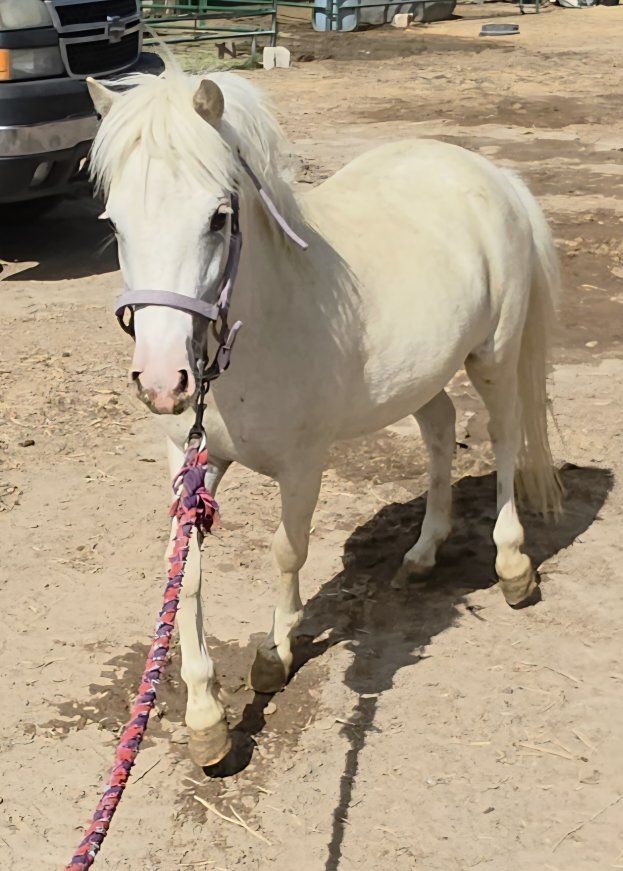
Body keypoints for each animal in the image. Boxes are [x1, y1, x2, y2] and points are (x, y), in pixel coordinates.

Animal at [86, 67, 561, 767]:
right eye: (115, 223)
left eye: (218, 217)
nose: (162, 380)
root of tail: (491, 172)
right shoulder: (191, 461)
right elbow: (187, 576)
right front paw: (206, 719)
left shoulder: (303, 465)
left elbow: (288, 552)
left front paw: (273, 655)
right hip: (421, 375)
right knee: (441, 431)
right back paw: (423, 554)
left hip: (494, 355)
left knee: (503, 442)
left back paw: (512, 568)